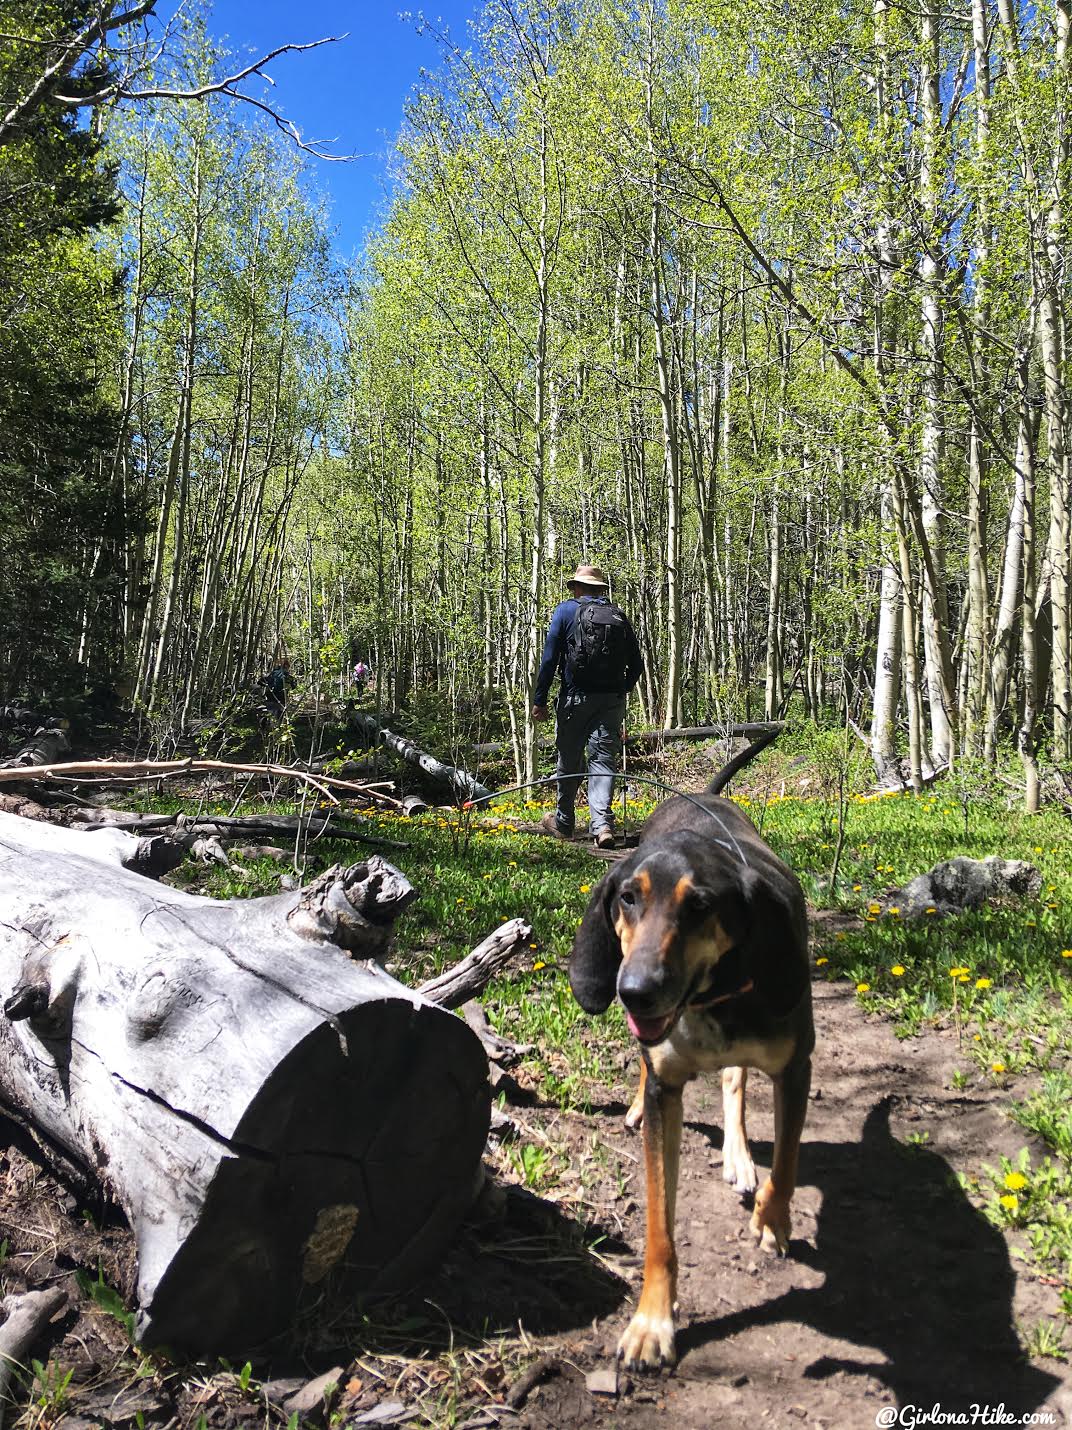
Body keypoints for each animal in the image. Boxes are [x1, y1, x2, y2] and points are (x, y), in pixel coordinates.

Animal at [571, 743, 811, 1367]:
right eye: (627, 898)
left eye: (701, 905)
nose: (634, 990)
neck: (710, 996)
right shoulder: (667, 1090)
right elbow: (659, 1227)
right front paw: (652, 1320)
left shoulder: (795, 1068)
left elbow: (787, 1163)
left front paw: (772, 1219)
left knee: (734, 1081)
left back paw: (739, 1156)